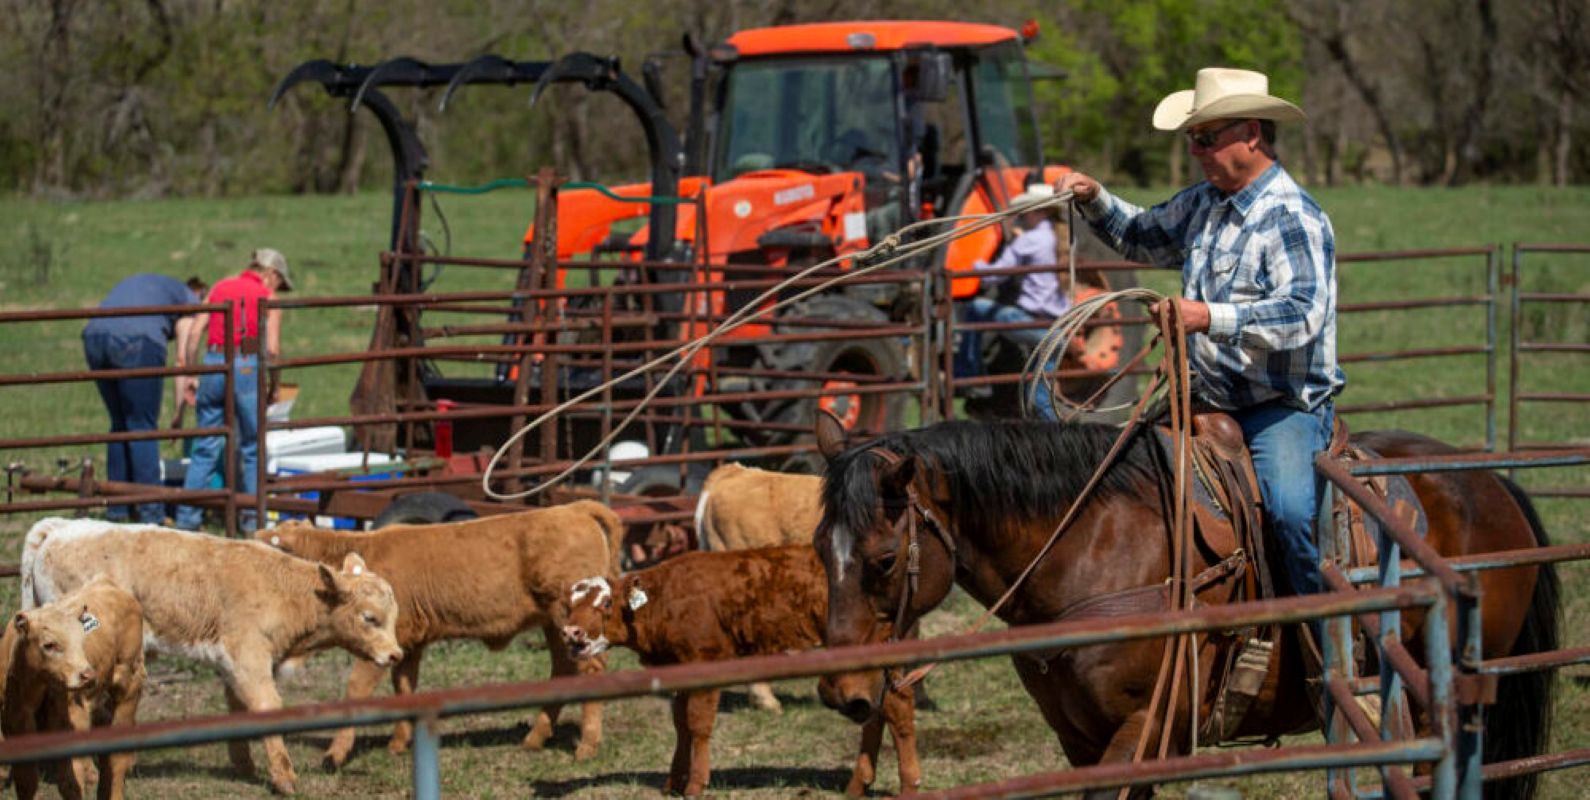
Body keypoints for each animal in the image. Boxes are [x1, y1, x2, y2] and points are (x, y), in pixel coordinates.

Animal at [1, 574, 144, 800]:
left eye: (81, 639)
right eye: (49, 644)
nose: (88, 675)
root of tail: (106, 582)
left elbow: (70, 783)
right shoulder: (16, 727)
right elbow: (26, 782)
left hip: (129, 685)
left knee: (116, 759)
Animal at [21, 518, 403, 795]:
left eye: (394, 615)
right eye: (370, 618)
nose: (395, 654)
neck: (285, 592)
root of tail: (57, 528)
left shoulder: (231, 664)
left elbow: (237, 708)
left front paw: (244, 764)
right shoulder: (248, 657)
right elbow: (267, 707)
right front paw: (284, 778)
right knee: (76, 708)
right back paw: (84, 771)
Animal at [257, 498, 624, 767]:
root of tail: (573, 508)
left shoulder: (380, 641)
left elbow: (356, 688)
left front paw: (335, 754)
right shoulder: (408, 643)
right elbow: (404, 686)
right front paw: (398, 742)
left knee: (591, 669)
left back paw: (587, 746)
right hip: (554, 624)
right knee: (563, 669)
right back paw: (535, 739)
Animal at [561, 545, 920, 798]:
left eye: (606, 604)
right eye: (569, 605)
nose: (570, 632)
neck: (666, 598)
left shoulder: (705, 665)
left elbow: (698, 724)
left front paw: (695, 784)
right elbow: (681, 724)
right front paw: (673, 782)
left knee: (897, 709)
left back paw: (909, 785)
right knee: (876, 712)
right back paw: (858, 786)